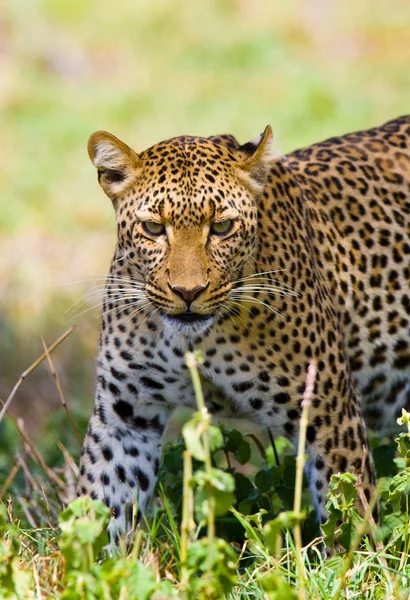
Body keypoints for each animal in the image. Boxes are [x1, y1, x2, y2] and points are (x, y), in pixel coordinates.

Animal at [77, 115, 410, 540]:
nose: (188, 292)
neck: (191, 341)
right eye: (153, 228)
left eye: (222, 228)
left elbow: (349, 517)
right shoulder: (125, 417)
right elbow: (98, 505)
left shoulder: (329, 416)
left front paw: (354, 554)